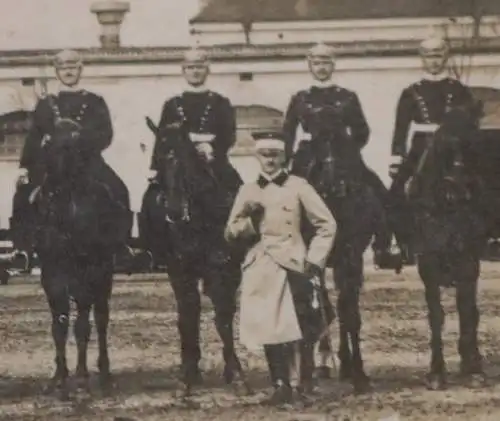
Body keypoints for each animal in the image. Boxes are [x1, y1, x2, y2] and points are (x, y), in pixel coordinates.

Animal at [31, 117, 133, 398]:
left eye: (77, 146)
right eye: (46, 145)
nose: (49, 195)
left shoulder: (90, 271)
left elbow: (82, 326)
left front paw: (80, 376)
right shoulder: (51, 275)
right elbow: (59, 325)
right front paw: (59, 376)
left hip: (103, 277)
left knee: (100, 320)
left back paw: (103, 372)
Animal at [139, 119, 248, 398]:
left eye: (185, 159)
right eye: (158, 158)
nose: (175, 211)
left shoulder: (224, 269)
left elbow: (223, 316)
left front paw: (235, 371)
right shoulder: (180, 271)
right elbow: (188, 315)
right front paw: (188, 373)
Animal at [292, 113, 386, 392]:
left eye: (343, 142)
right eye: (316, 142)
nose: (334, 184)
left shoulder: (351, 257)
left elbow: (349, 312)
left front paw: (359, 374)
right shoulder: (313, 260)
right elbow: (320, 307)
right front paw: (309, 372)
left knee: (344, 306)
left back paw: (344, 364)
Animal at [406, 102, 488, 390]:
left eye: (475, 142)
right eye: (443, 143)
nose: (459, 190)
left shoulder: (468, 264)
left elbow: (466, 312)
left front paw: (473, 370)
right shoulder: (429, 267)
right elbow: (436, 316)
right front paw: (436, 372)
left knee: (471, 312)